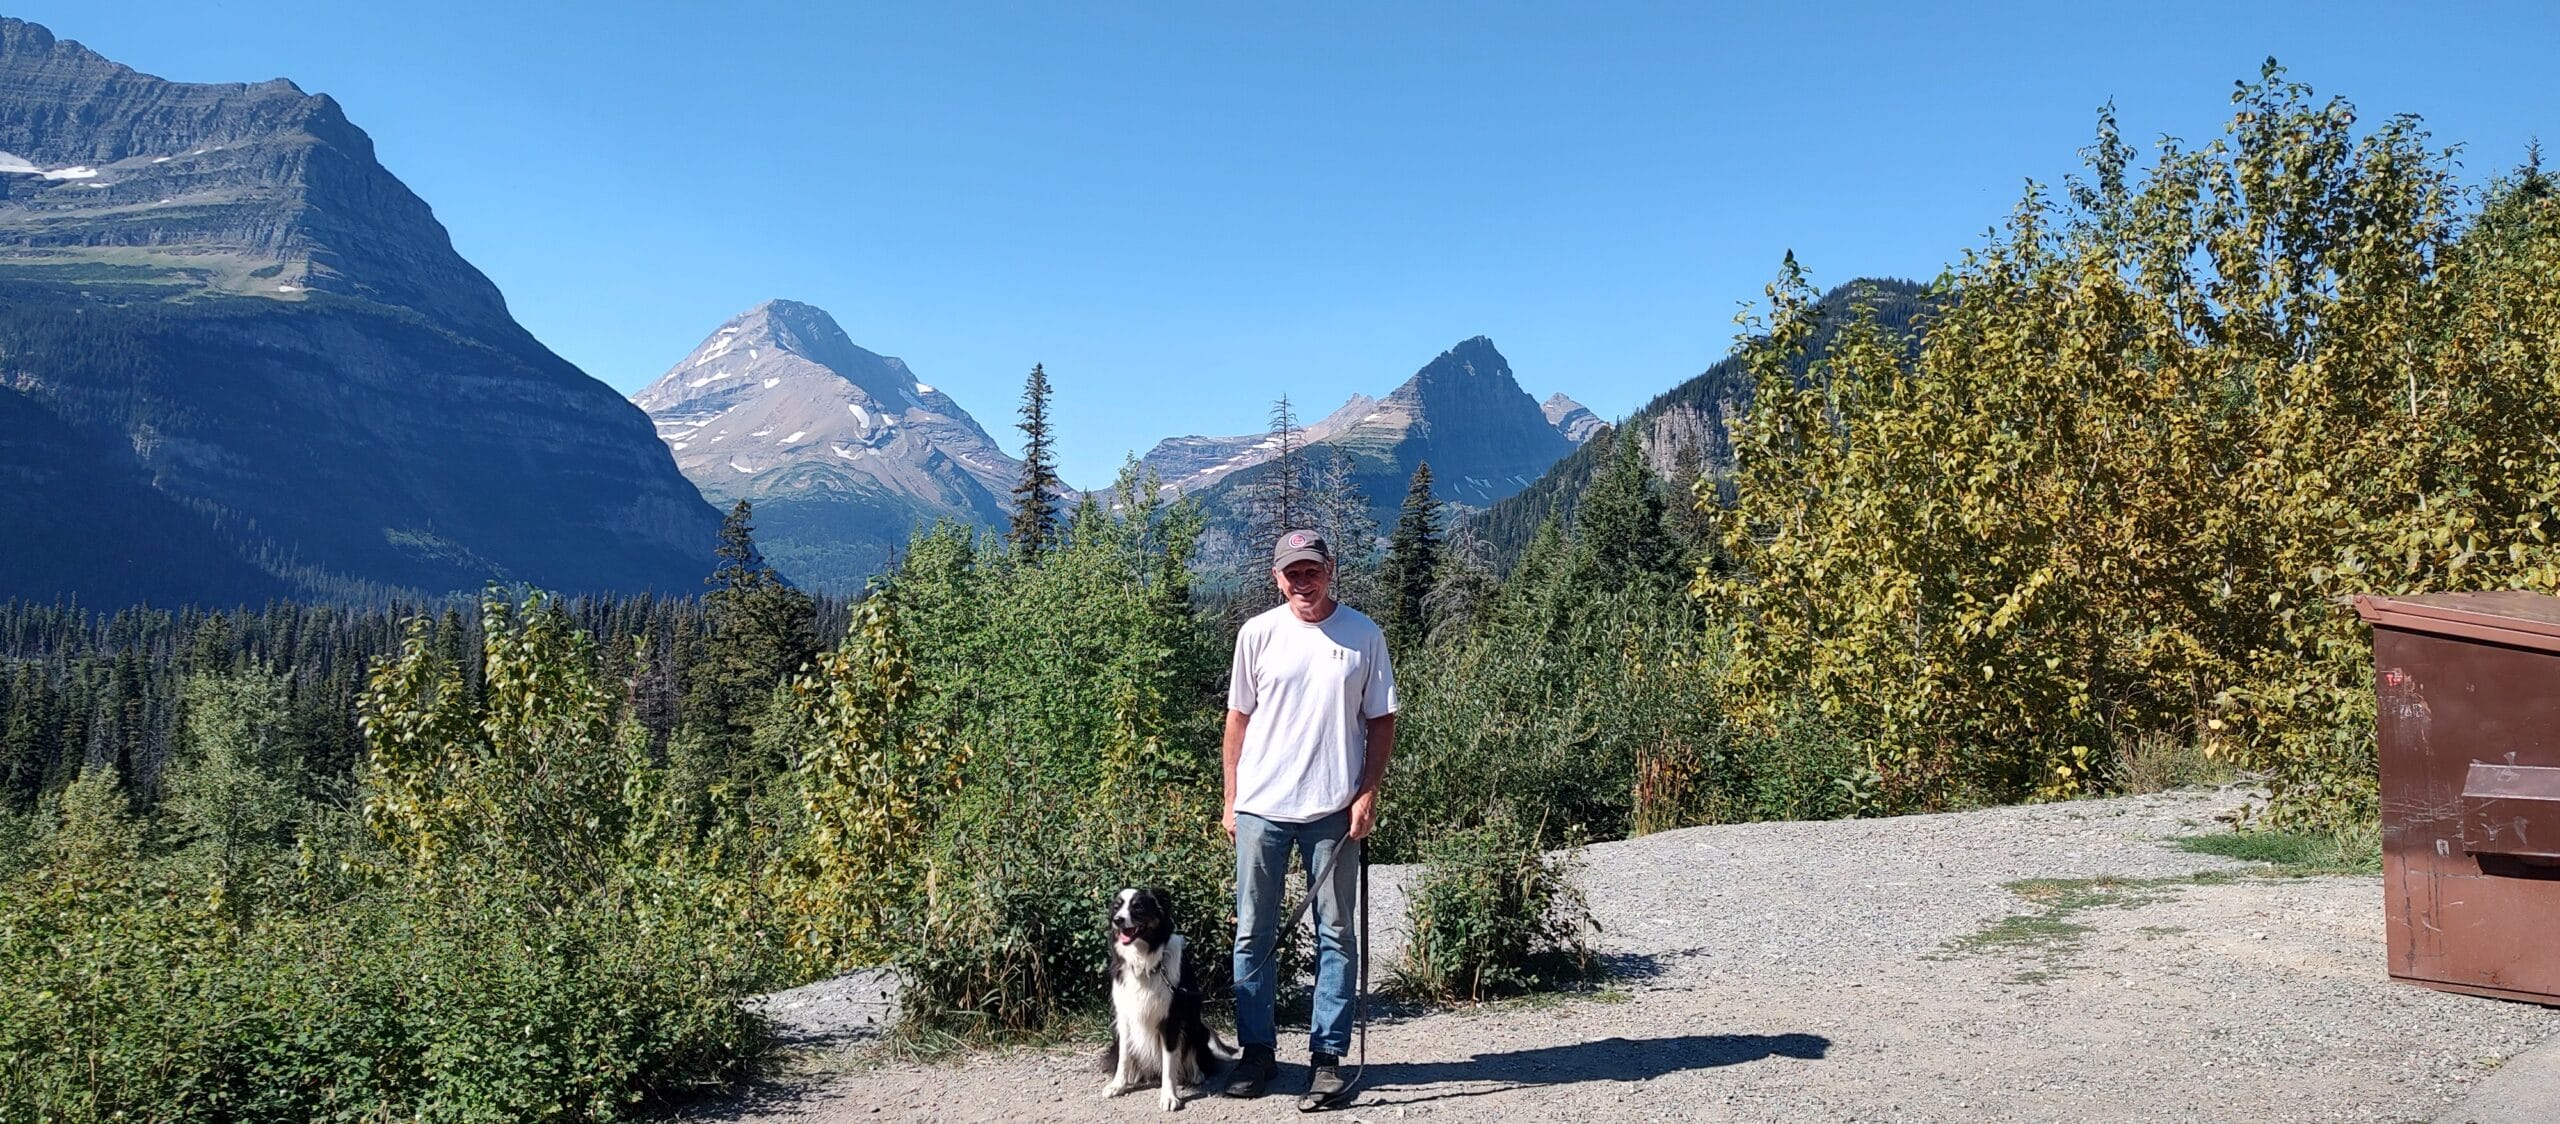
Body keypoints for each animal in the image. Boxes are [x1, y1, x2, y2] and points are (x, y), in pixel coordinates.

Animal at [1101, 887, 1237, 1110]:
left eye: (1138, 907)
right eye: (1116, 907)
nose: (1117, 920)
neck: (1145, 962)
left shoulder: (1171, 1021)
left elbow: (1169, 1063)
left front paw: (1169, 1097)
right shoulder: (1124, 1017)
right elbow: (1124, 1056)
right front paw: (1118, 1085)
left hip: (1196, 1027)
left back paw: (1196, 1074)